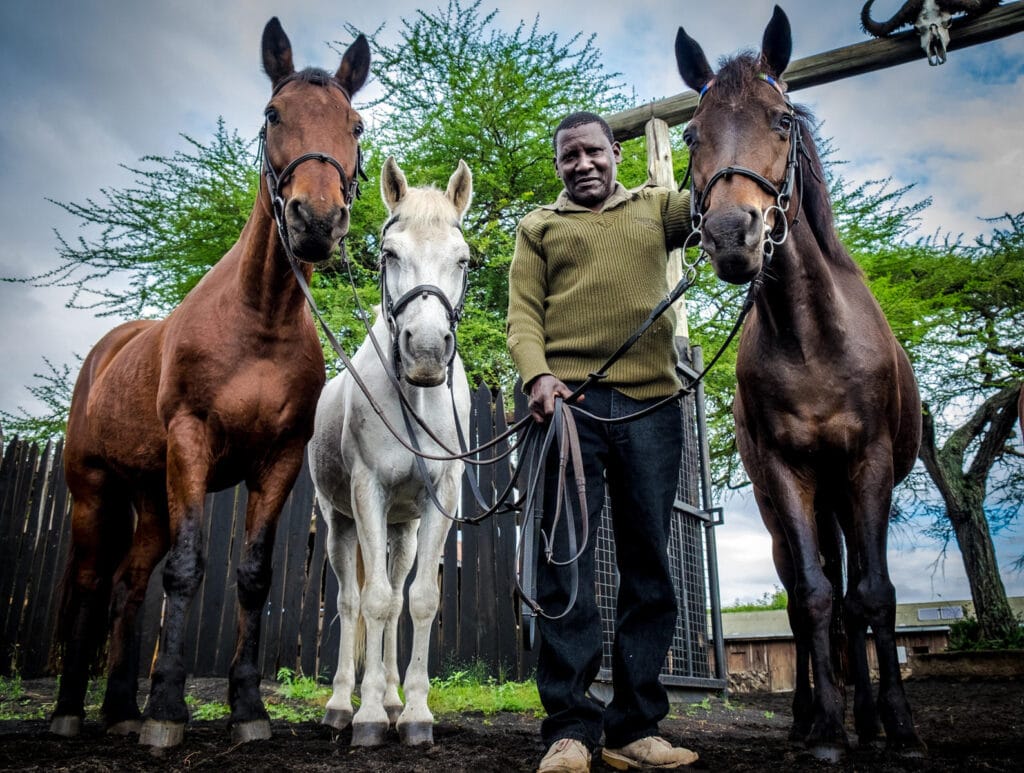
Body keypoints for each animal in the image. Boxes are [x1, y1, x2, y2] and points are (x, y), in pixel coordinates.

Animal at [49, 18, 369, 749]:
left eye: (356, 124)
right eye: (273, 113)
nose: (316, 220)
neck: (260, 318)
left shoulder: (278, 460)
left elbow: (252, 576)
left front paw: (247, 708)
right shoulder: (192, 441)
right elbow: (189, 569)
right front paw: (168, 708)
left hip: (150, 497)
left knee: (128, 584)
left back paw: (119, 707)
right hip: (95, 492)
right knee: (91, 581)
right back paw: (71, 710)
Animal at [309, 157, 473, 746]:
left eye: (463, 259)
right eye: (389, 254)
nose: (425, 350)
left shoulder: (442, 499)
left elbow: (419, 600)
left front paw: (417, 712)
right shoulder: (367, 494)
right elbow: (373, 603)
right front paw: (369, 718)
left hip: (403, 530)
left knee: (397, 595)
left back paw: (393, 697)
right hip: (340, 522)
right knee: (352, 601)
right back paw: (345, 704)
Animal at [675, 6, 925, 761]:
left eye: (782, 119)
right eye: (693, 132)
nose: (732, 234)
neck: (814, 338)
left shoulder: (870, 463)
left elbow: (873, 595)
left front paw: (900, 728)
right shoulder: (787, 473)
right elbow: (814, 596)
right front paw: (827, 732)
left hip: (844, 488)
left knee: (856, 596)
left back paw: (872, 720)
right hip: (798, 502)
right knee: (814, 591)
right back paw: (816, 716)